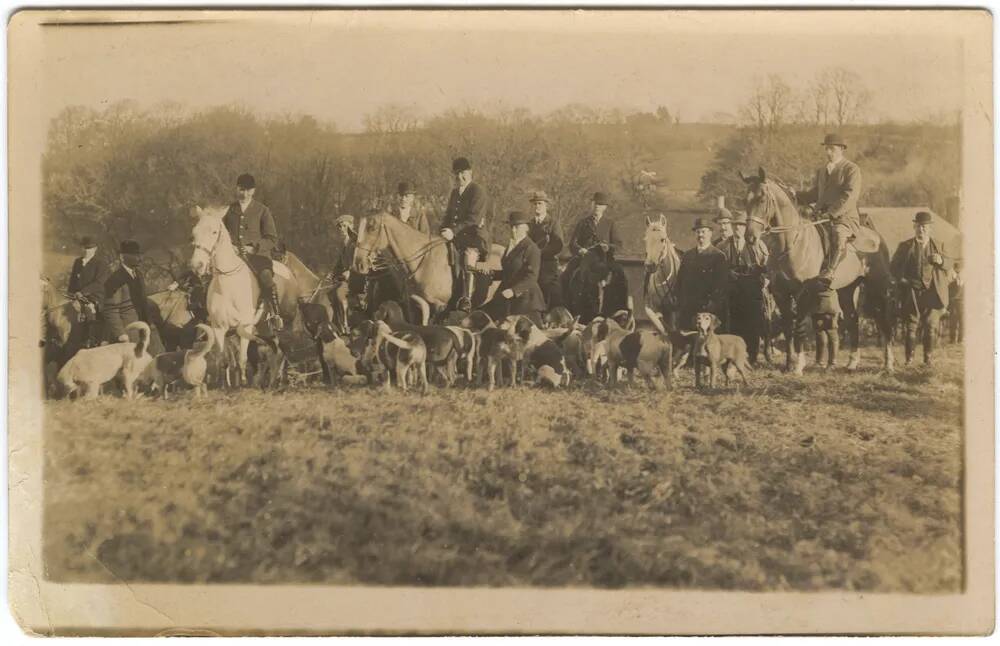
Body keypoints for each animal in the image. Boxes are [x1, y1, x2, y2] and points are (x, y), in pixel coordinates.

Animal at [744, 170, 900, 378]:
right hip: (845, 290)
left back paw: (888, 364)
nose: (750, 237)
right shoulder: (780, 293)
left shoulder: (803, 293)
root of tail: (876, 237)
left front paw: (798, 366)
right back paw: (852, 363)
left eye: (761, 199)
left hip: (877, 288)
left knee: (884, 322)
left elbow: (799, 328)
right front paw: (788, 364)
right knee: (853, 320)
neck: (790, 243)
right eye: (745, 200)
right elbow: (788, 328)